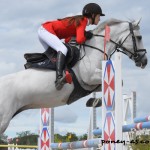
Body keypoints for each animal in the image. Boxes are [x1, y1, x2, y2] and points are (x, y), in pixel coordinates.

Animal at [0, 17, 147, 134]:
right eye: (139, 37)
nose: (144, 61)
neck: (95, 50)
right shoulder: (89, 77)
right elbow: (117, 81)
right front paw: (97, 101)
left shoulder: (90, 84)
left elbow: (109, 85)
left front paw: (95, 101)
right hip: (3, 119)